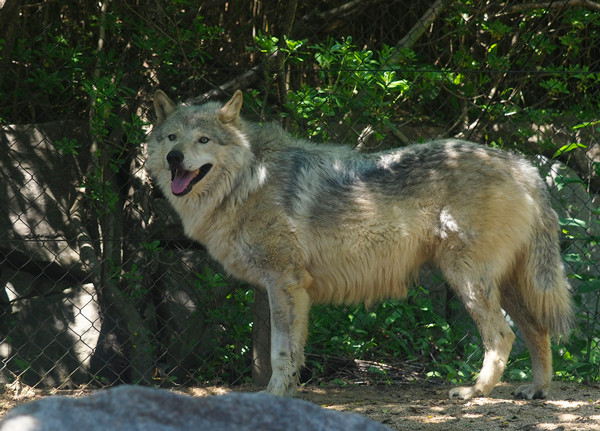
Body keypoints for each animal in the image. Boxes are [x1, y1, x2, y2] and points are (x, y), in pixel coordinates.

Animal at [145, 90, 572, 402]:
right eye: (171, 137)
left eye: (203, 140)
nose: (174, 158)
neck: (248, 179)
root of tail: (521, 164)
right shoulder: (287, 288)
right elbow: (293, 350)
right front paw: (290, 392)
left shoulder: (284, 282)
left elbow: (280, 351)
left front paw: (274, 394)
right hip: (506, 285)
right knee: (536, 331)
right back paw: (537, 390)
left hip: (466, 280)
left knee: (502, 336)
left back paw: (474, 392)